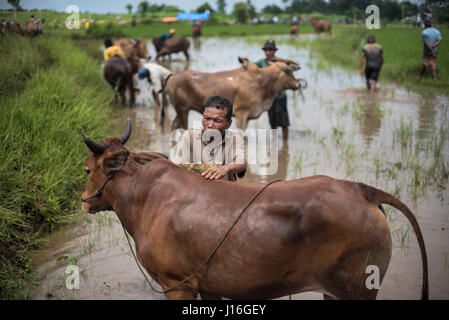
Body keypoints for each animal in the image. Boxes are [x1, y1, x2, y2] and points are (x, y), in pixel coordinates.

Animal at [79, 120, 428, 300]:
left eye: (86, 170)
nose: (84, 201)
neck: (143, 196)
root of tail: (361, 189)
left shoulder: (176, 284)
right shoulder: (205, 285)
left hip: (358, 291)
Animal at [166, 57, 300, 129]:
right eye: (290, 72)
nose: (297, 84)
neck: (262, 82)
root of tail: (173, 76)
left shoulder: (248, 117)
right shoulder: (241, 114)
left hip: (181, 110)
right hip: (182, 110)